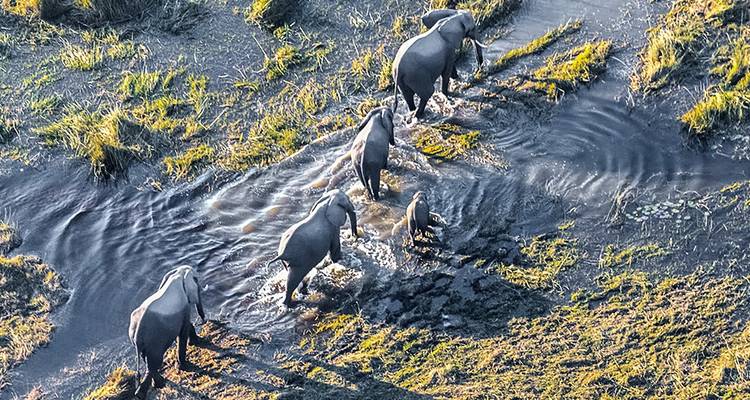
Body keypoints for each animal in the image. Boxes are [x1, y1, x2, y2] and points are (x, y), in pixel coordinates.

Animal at [129, 265, 206, 399]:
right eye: (196, 280)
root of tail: (137, 333)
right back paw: (149, 390)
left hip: (144, 343)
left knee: (149, 362)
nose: (203, 321)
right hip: (154, 341)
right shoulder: (183, 306)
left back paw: (155, 386)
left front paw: (196, 342)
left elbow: (186, 326)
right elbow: (183, 331)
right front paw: (184, 366)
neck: (178, 274)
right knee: (154, 363)